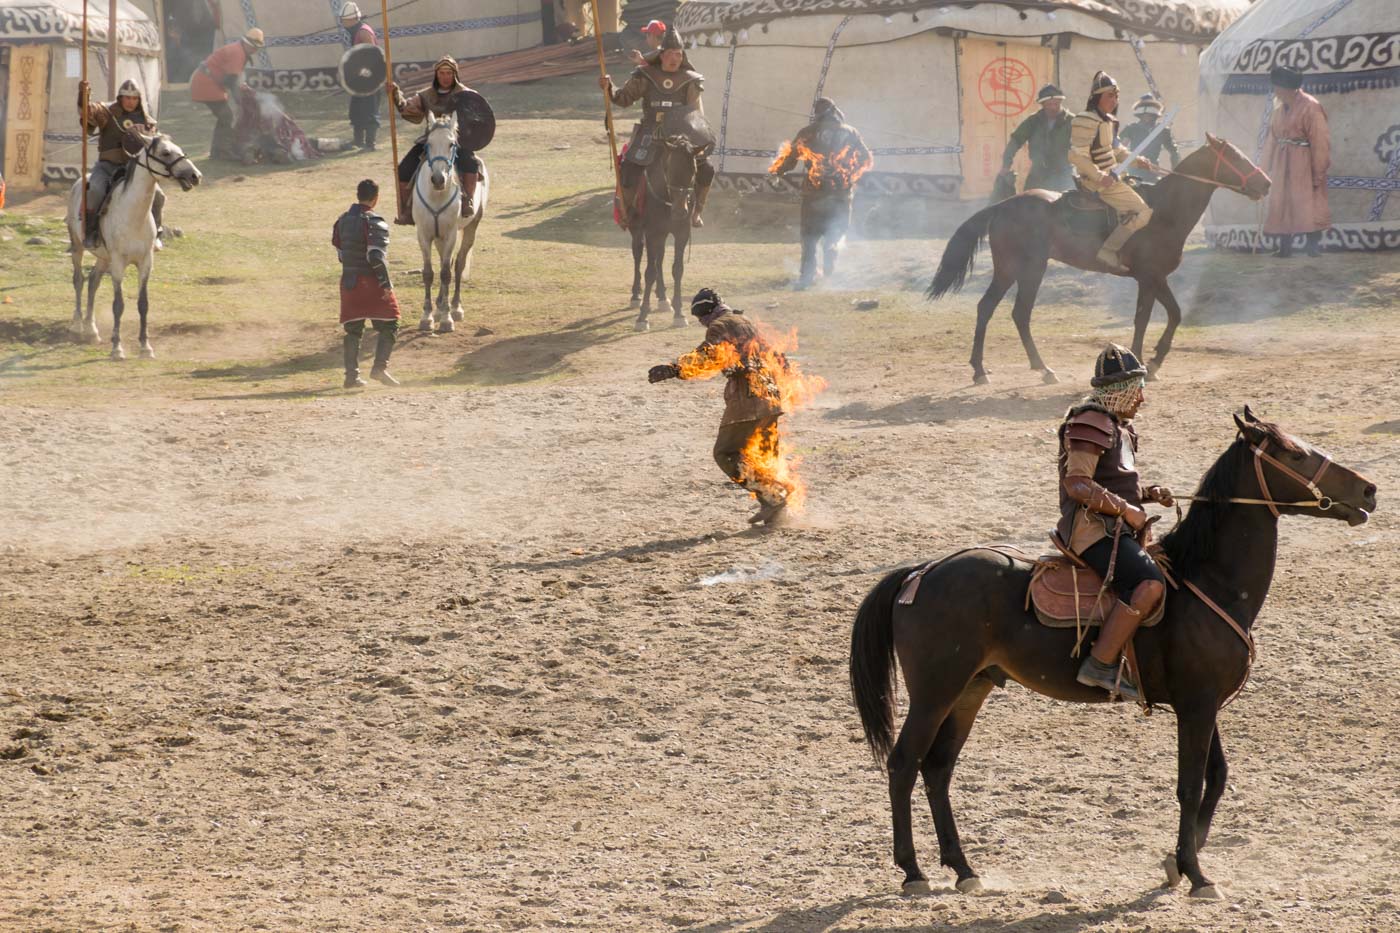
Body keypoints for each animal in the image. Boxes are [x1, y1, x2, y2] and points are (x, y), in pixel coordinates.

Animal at [64, 130, 203, 358]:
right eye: (165, 152)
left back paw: (91, 329)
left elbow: (143, 303)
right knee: (79, 280)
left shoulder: (146, 262)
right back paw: (77, 326)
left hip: (104, 258)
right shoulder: (118, 264)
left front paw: (145, 346)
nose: (195, 176)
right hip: (78, 246)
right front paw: (117, 348)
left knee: (93, 282)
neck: (133, 215)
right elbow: (118, 305)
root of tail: (78, 184)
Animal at [408, 112, 490, 332]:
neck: (436, 194)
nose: (438, 179)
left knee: (458, 264)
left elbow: (446, 273)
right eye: (428, 144)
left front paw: (446, 318)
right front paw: (427, 316)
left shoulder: (451, 233)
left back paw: (454, 307)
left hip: (471, 227)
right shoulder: (424, 235)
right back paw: (439, 306)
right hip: (439, 238)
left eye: (452, 144)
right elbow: (428, 273)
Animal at [845, 406, 1372, 896]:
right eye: (1295, 454)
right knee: (903, 764)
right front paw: (1197, 874)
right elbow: (1189, 786)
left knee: (937, 770)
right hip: (935, 693)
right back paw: (913, 872)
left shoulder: (1203, 705)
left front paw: (1176, 862)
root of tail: (921, 572)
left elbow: (1217, 778)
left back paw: (963, 869)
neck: (1209, 581)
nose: (1368, 491)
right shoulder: (1197, 707)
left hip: (969, 691)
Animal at [929, 134, 1271, 381]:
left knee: (996, 310)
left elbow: (1161, 316)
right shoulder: (1151, 278)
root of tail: (1002, 205)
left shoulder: (1152, 280)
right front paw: (1147, 363)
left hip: (1015, 270)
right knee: (1013, 312)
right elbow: (1154, 317)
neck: (1164, 212)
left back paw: (996, 369)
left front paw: (1151, 362)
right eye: (1235, 157)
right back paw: (1025, 369)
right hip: (1025, 269)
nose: (1266, 183)